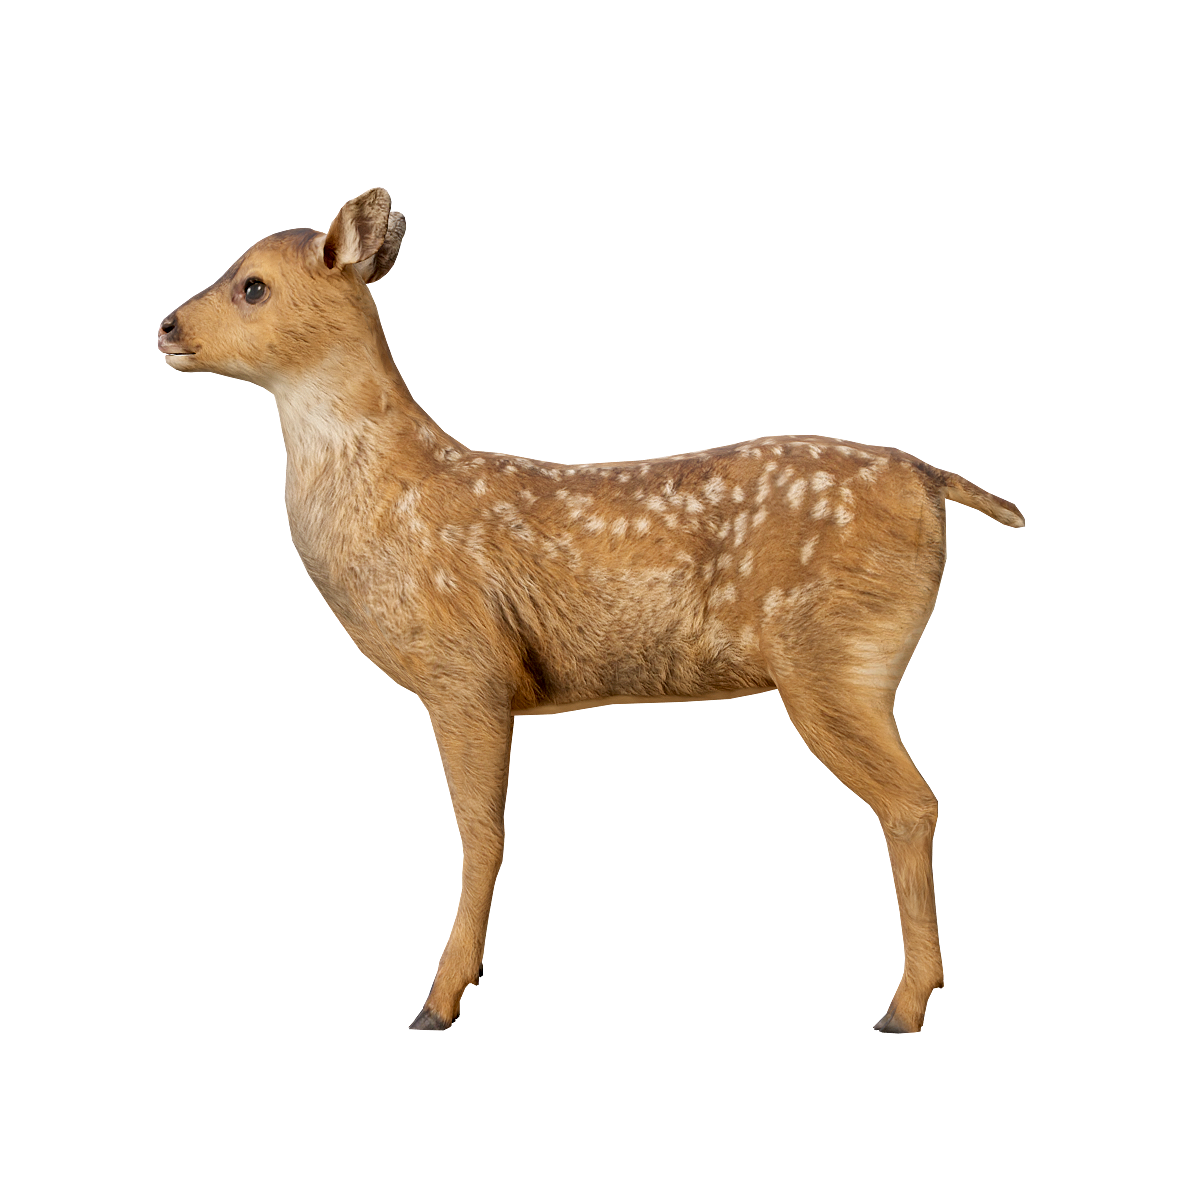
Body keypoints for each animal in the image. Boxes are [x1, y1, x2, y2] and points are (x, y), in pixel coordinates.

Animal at [158, 187, 1025, 1033]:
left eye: (252, 285)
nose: (166, 324)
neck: (392, 496)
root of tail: (929, 478)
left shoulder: (466, 664)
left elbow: (482, 834)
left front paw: (438, 1002)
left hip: (830, 655)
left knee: (913, 806)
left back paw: (901, 1007)